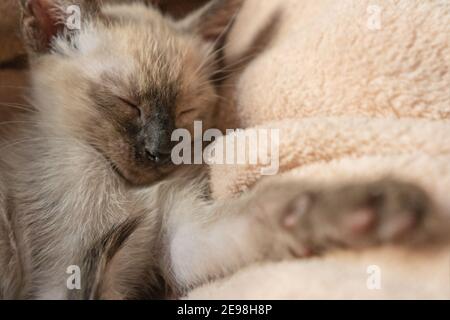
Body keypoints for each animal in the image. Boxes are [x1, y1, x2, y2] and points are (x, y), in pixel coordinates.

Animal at [0, 0, 442, 300]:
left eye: (185, 111)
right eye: (127, 103)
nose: (158, 151)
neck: (130, 190)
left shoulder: (181, 240)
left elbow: (270, 207)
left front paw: (376, 208)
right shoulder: (63, 273)